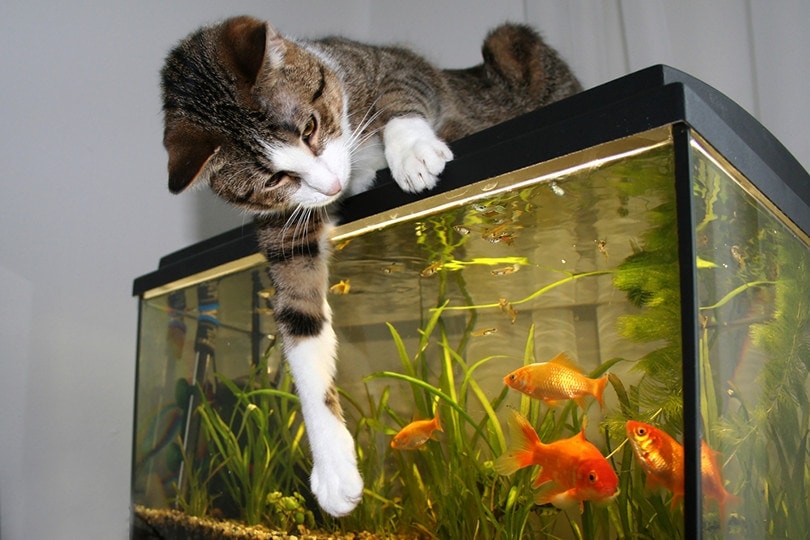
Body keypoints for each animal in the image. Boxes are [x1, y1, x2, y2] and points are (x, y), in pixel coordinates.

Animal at [159, 14, 580, 516]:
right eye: (275, 178)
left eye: (309, 127)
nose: (332, 186)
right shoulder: (286, 228)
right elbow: (301, 322)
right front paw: (333, 468)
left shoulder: (389, 65)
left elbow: (401, 90)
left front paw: (412, 152)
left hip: (511, 46)